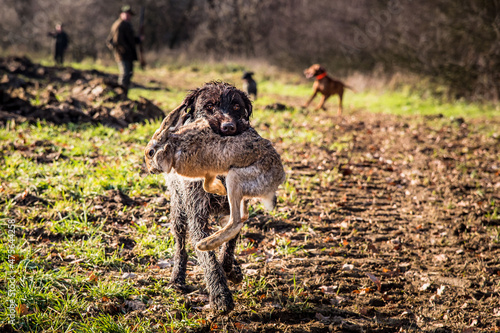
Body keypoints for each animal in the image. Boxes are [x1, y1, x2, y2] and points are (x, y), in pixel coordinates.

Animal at [145, 80, 266, 312]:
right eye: (209, 106)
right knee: (181, 247)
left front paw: (232, 270)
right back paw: (177, 278)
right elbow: (208, 259)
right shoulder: (196, 216)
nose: (228, 127)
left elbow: (228, 247)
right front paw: (220, 296)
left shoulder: (234, 211)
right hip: (179, 212)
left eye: (237, 106)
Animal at [146, 117, 286, 252]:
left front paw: (221, 190)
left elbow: (206, 184)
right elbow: (206, 184)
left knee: (236, 222)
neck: (173, 148)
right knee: (243, 216)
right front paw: (221, 189)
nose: (151, 171)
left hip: (235, 179)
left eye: (150, 153)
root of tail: (279, 178)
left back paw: (205, 244)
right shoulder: (210, 171)